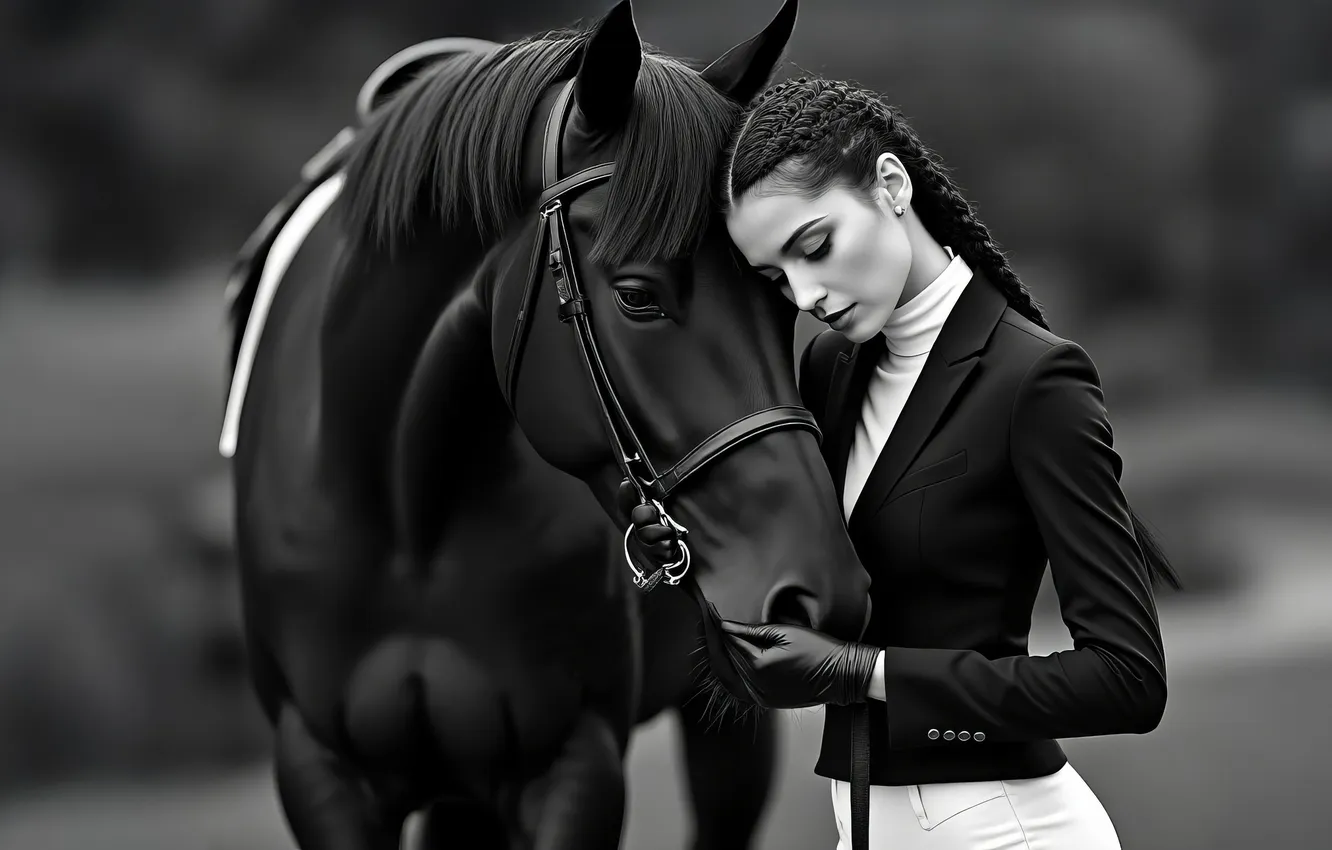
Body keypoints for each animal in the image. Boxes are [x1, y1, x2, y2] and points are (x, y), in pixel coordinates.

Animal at [220, 2, 870, 847]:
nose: (824, 598)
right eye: (637, 296)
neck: (410, 511)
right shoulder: (321, 771)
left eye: (780, 293)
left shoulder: (571, 764)